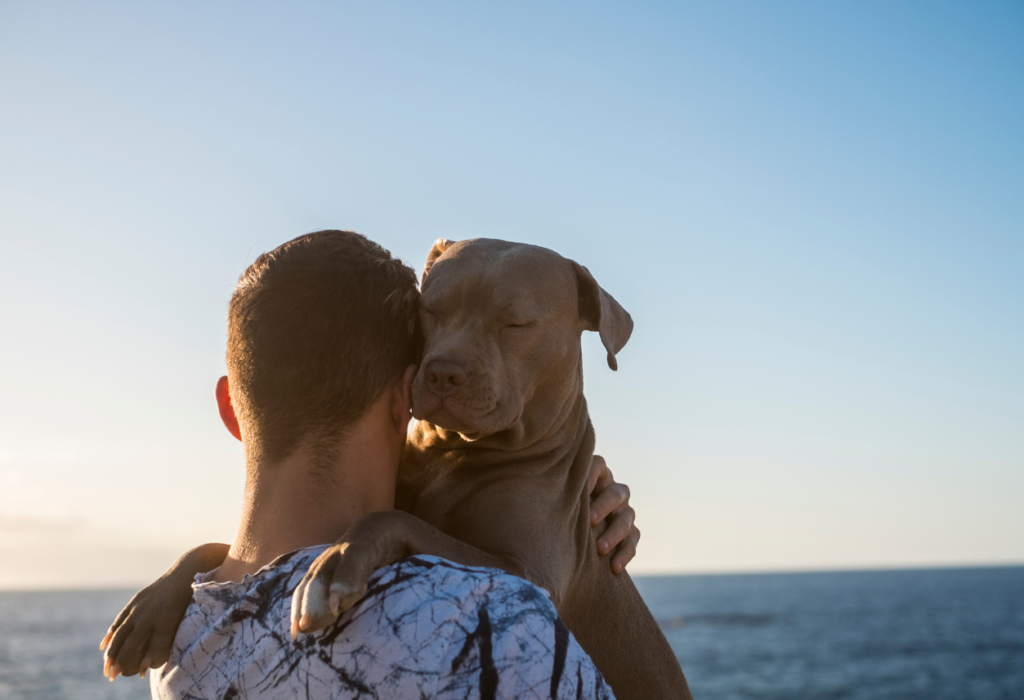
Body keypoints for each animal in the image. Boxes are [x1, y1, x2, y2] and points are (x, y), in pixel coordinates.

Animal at [296, 239, 696, 700]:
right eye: (430, 308)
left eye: (517, 324)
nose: (443, 372)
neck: (454, 453)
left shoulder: (526, 575)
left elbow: (393, 518)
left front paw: (333, 565)